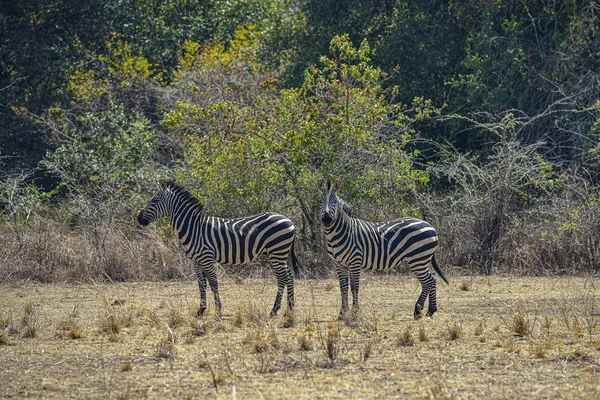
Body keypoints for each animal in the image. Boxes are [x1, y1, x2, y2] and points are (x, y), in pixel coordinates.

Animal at [138, 180, 302, 318]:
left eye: (155, 200)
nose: (139, 219)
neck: (193, 228)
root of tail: (290, 221)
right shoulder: (196, 261)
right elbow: (201, 285)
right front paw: (201, 310)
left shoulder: (207, 258)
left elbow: (213, 284)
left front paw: (218, 310)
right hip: (274, 254)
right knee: (288, 276)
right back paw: (289, 308)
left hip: (277, 251)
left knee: (283, 278)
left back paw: (276, 310)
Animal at [322, 180, 448, 320]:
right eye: (321, 200)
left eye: (334, 201)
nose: (326, 219)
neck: (343, 233)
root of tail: (431, 226)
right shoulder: (339, 264)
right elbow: (343, 288)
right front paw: (342, 313)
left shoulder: (355, 262)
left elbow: (354, 288)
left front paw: (354, 313)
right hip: (420, 260)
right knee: (430, 280)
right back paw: (428, 310)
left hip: (418, 259)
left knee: (428, 280)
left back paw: (420, 310)